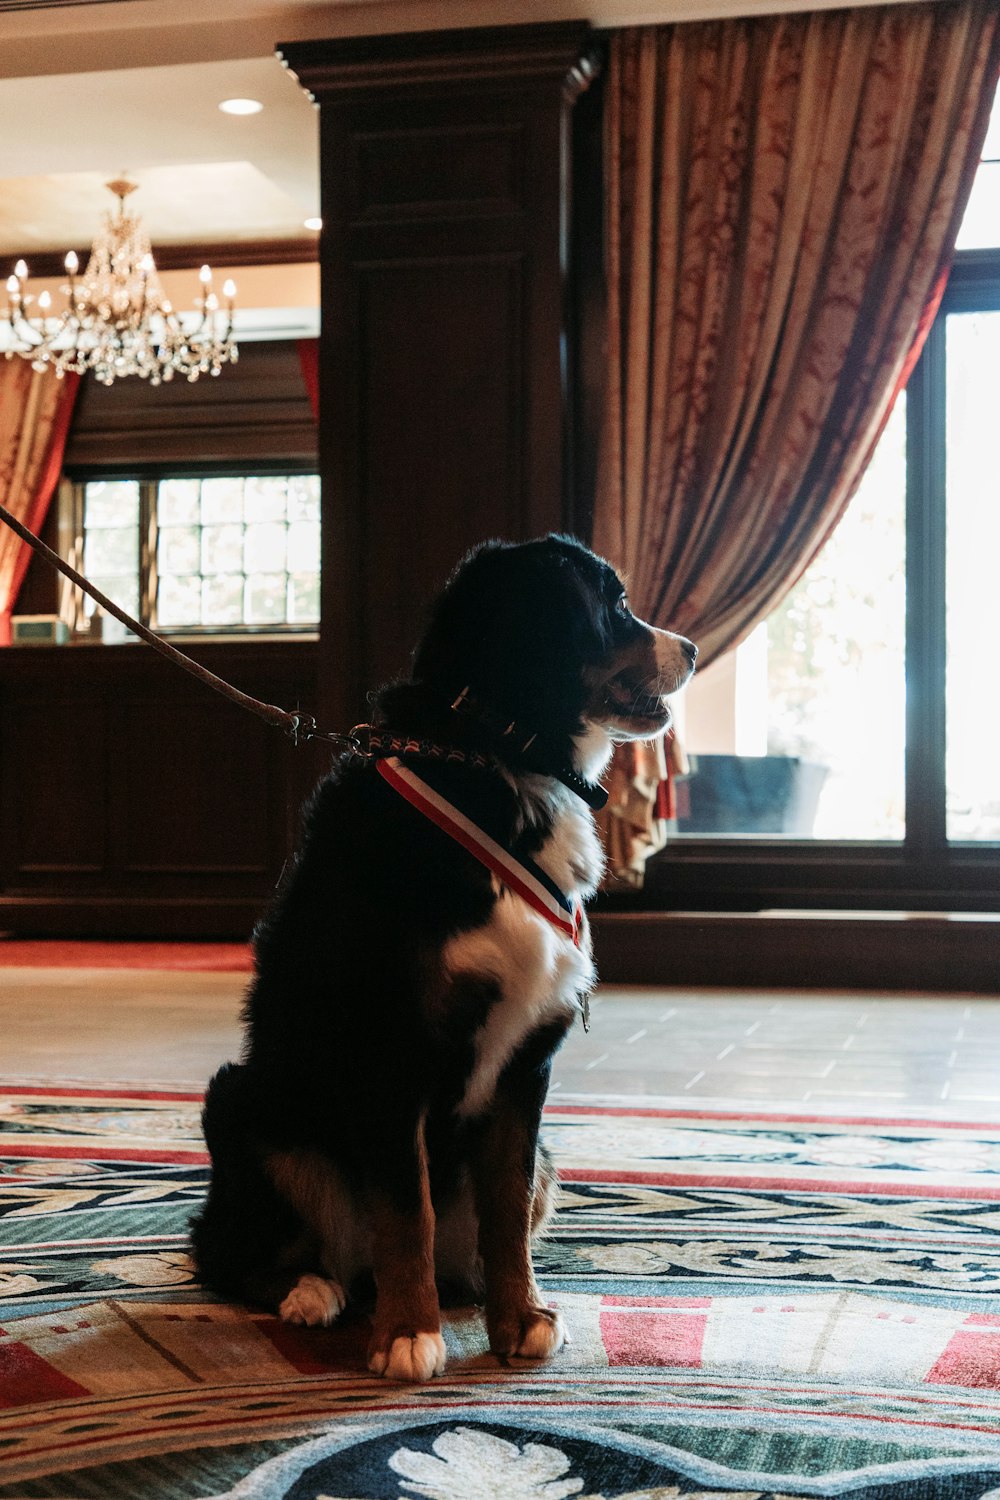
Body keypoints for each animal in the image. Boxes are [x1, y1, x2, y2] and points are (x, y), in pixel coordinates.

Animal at [191, 537, 701, 1380]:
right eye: (615, 604)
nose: (690, 648)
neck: (495, 755)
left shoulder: (527, 1066)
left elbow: (504, 1212)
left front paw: (519, 1318)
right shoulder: (391, 1052)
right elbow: (408, 1212)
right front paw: (407, 1334)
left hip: (548, 1157)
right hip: (244, 1103)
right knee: (234, 1256)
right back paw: (311, 1290)